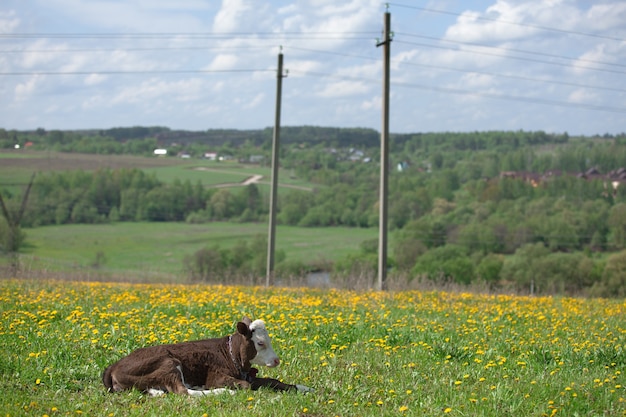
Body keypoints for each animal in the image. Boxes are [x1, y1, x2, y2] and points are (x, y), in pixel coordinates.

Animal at [102, 316, 312, 394]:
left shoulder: (248, 375)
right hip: (168, 363)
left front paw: (303, 387)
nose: (276, 360)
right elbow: (245, 386)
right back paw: (222, 392)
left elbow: (273, 381)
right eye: (260, 343)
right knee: (183, 392)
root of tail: (113, 366)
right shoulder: (216, 377)